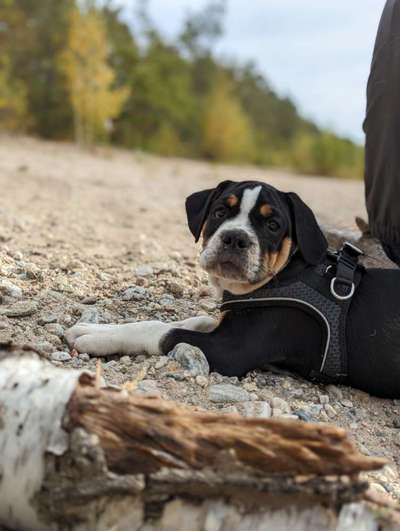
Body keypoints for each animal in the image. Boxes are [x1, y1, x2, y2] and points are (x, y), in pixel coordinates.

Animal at [65, 181, 400, 396]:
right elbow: (184, 320)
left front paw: (98, 338)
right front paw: (99, 328)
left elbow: (162, 333)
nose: (235, 238)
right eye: (219, 213)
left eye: (273, 225)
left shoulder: (231, 349)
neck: (280, 277)